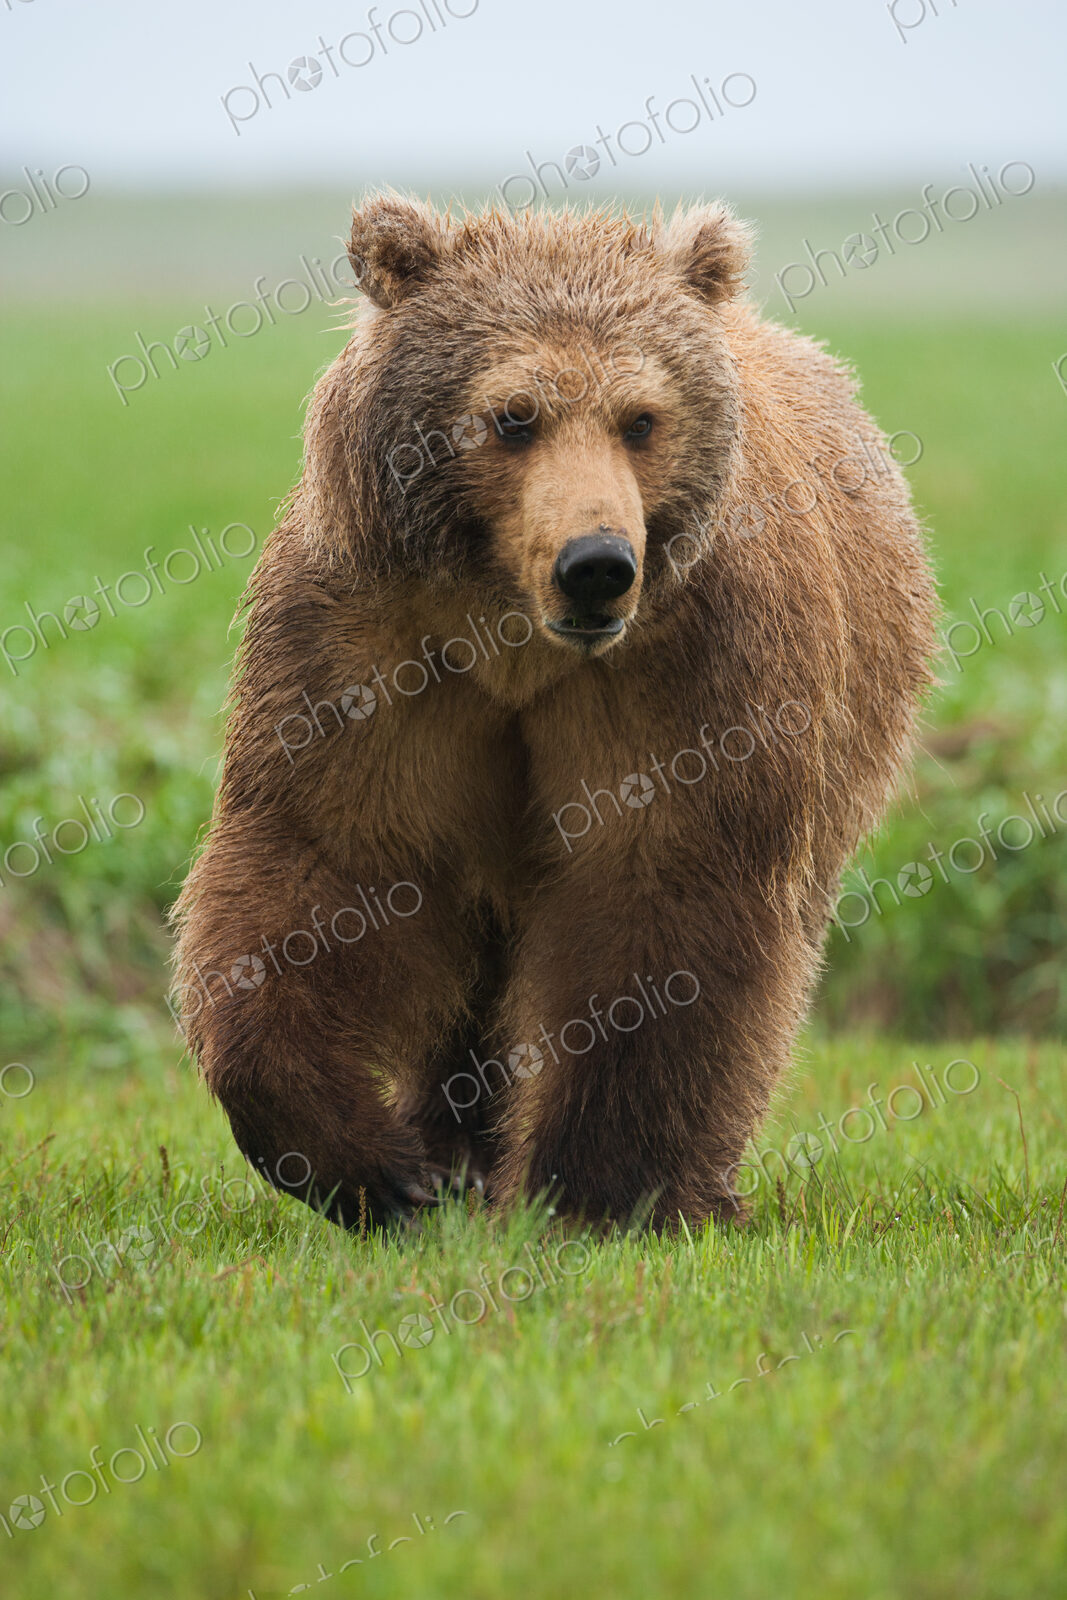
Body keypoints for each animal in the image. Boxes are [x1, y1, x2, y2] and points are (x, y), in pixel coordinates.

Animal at [171, 192, 936, 1232]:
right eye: (513, 416)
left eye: (641, 418)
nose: (597, 565)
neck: (514, 642)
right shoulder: (371, 650)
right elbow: (329, 866)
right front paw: (379, 1167)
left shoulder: (687, 673)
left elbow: (660, 890)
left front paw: (595, 1188)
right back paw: (454, 1147)